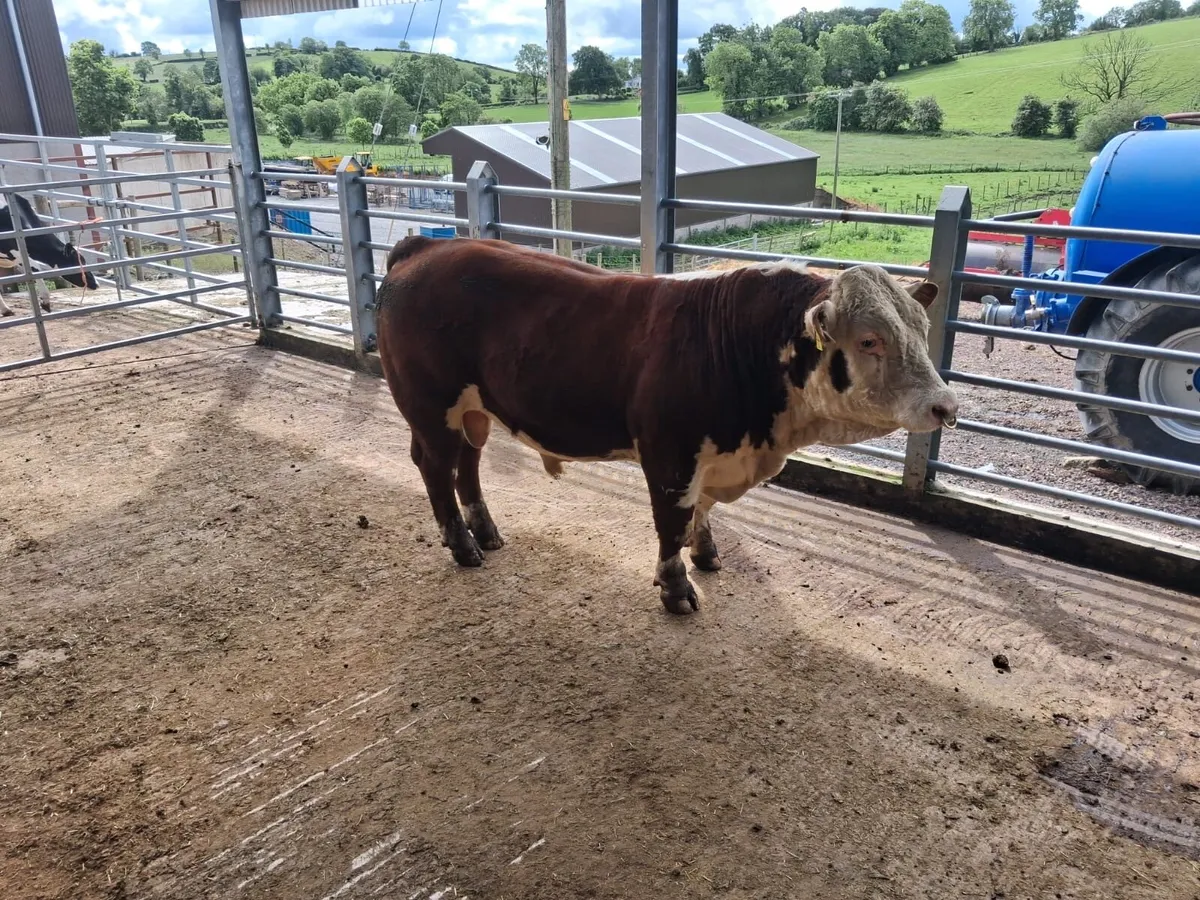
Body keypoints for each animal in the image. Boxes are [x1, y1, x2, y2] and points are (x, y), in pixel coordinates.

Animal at [375, 236, 960, 615]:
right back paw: (463, 545)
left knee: (467, 464)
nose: (945, 406)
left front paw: (707, 554)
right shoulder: (669, 455)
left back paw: (486, 531)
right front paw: (676, 588)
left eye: (921, 328)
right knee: (435, 467)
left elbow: (701, 512)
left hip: (474, 409)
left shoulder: (710, 456)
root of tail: (424, 247)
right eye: (869, 340)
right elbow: (672, 522)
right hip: (429, 407)